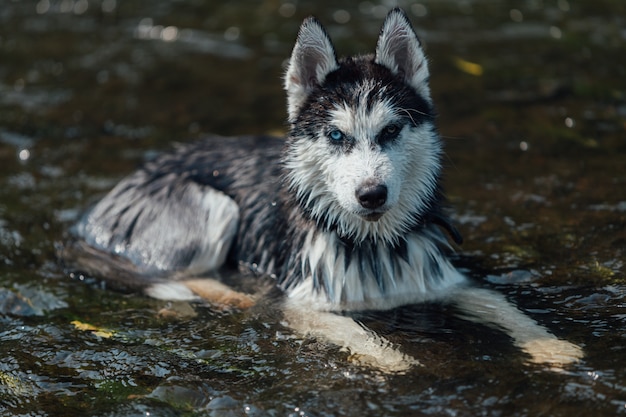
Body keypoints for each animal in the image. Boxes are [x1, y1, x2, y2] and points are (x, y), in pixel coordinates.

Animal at [68, 7, 580, 370]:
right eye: (336, 136)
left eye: (391, 131)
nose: (371, 195)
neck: (373, 245)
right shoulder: (303, 303)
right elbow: (356, 332)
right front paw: (394, 360)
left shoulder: (442, 280)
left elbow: (504, 306)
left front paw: (553, 348)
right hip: (212, 205)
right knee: (180, 278)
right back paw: (232, 295)